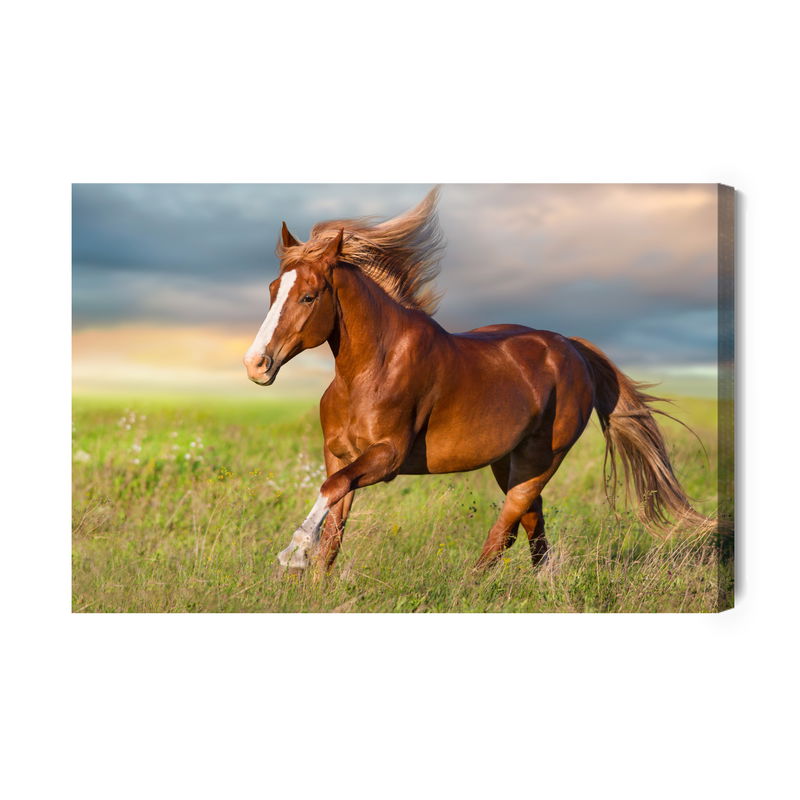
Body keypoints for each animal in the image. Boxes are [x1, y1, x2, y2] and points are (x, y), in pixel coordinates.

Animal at [243, 188, 709, 573]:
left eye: (309, 296)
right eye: (272, 289)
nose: (256, 365)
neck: (368, 372)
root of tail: (571, 347)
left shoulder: (387, 457)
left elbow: (330, 492)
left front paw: (293, 552)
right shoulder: (339, 454)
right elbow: (334, 529)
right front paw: (312, 577)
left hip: (541, 458)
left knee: (508, 525)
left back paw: (473, 585)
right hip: (508, 460)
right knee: (531, 520)